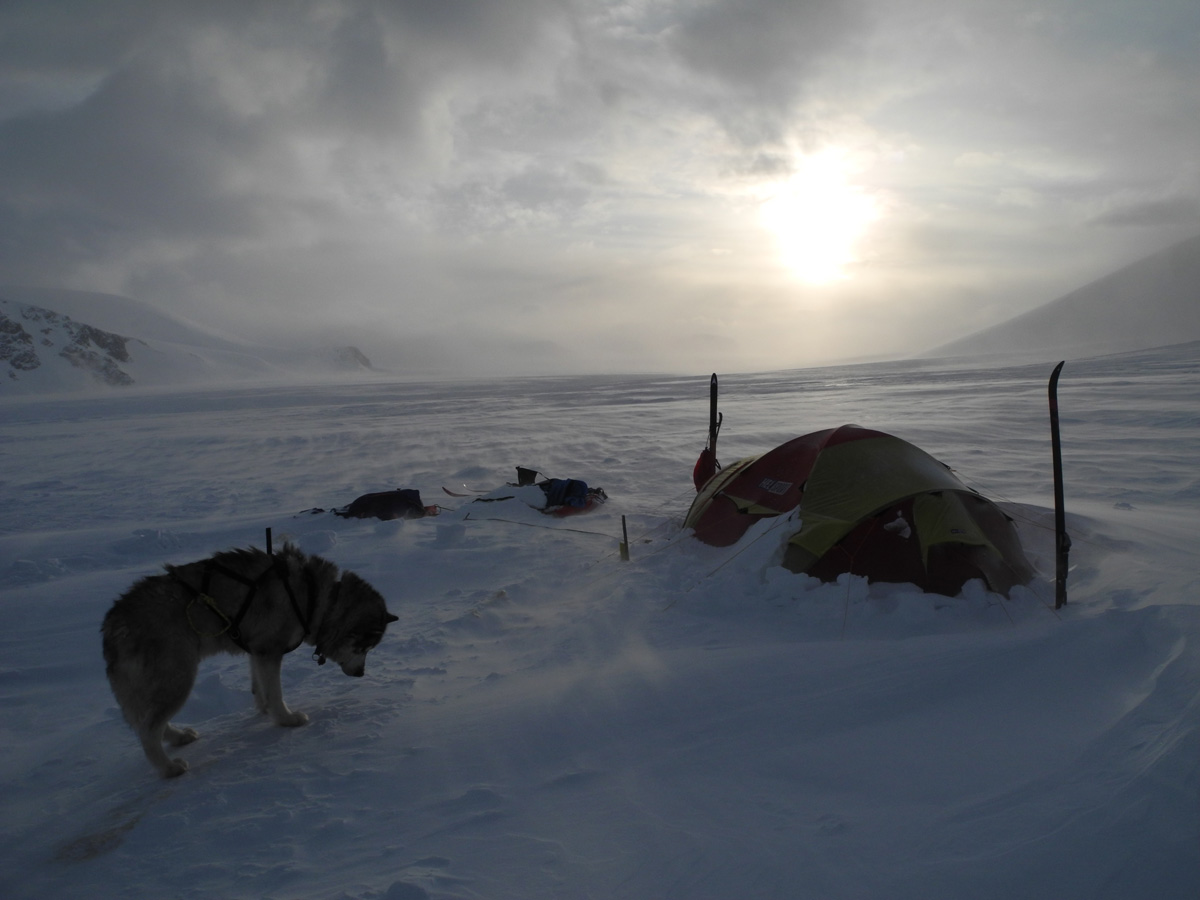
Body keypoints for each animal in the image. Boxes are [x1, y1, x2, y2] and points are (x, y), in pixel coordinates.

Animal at [99, 542, 398, 782]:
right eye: (364, 648)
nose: (361, 674)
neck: (317, 599)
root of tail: (113, 623)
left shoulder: (256, 651)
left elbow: (260, 686)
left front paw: (264, 709)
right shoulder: (270, 650)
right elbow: (276, 692)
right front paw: (286, 719)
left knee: (151, 723)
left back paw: (179, 737)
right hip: (177, 678)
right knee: (148, 730)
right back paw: (168, 768)